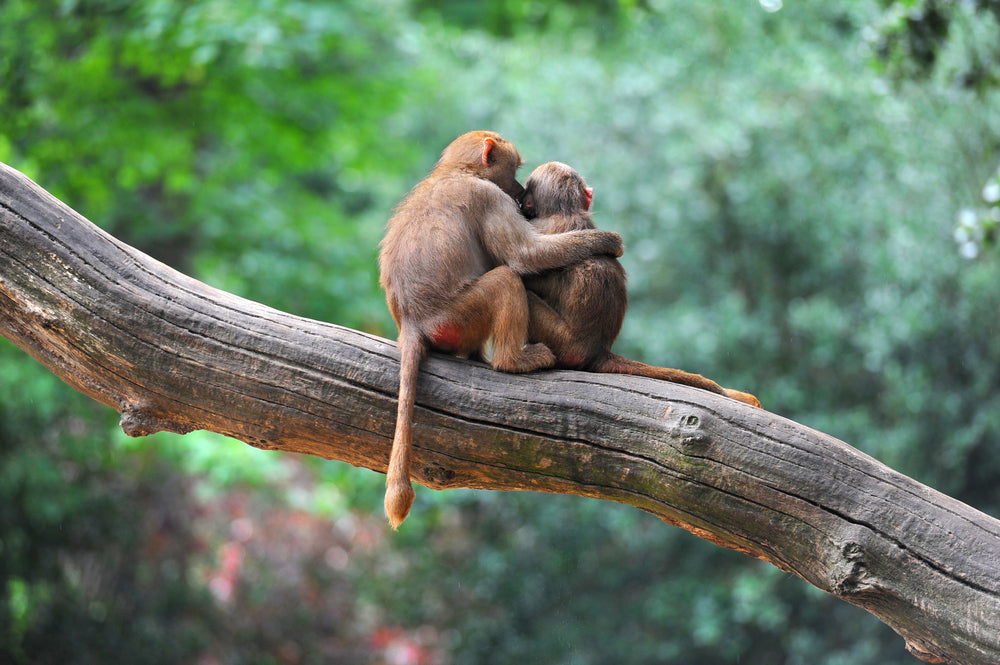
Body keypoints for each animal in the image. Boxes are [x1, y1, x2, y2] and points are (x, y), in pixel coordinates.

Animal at [378, 132, 624, 529]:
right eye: (516, 170)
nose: (521, 192)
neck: (456, 171)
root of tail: (412, 321)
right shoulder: (489, 197)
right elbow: (523, 257)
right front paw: (608, 241)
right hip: (457, 317)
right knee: (506, 279)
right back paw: (513, 361)